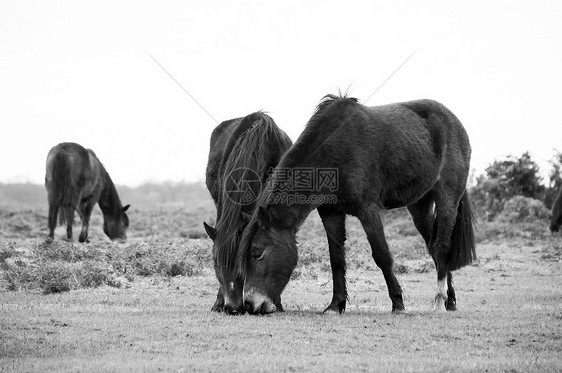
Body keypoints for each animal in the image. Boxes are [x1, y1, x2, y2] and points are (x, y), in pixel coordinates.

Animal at [234, 93, 474, 314]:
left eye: (257, 253)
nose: (250, 305)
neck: (333, 154)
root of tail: (454, 121)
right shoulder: (330, 214)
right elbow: (337, 259)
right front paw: (335, 305)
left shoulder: (368, 211)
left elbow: (382, 255)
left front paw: (398, 303)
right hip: (420, 205)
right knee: (433, 246)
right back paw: (450, 300)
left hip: (447, 198)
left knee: (442, 246)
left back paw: (440, 300)